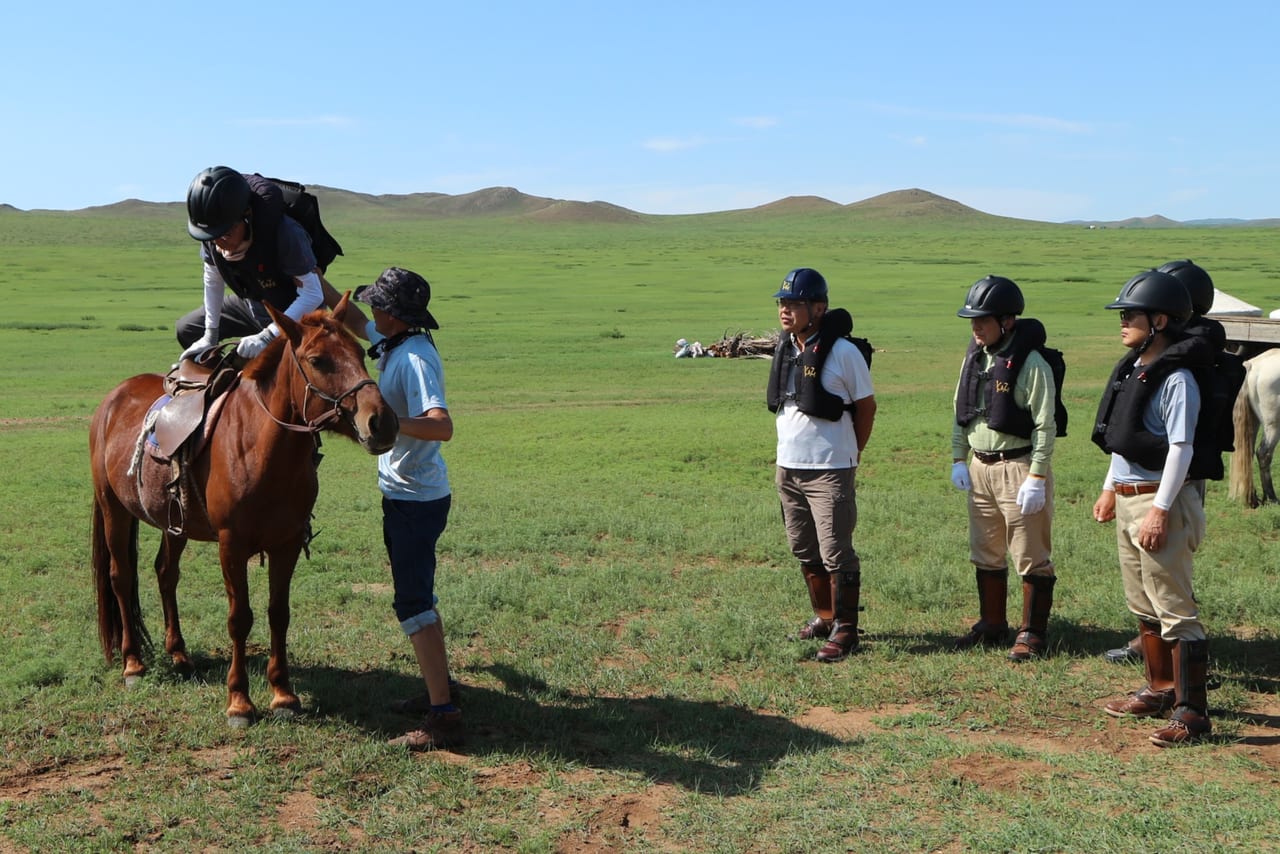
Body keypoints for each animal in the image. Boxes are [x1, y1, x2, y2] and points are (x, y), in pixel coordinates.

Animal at [90, 297, 396, 727]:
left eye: (360, 352)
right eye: (318, 360)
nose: (382, 421)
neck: (262, 448)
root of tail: (113, 398)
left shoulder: (286, 543)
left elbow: (278, 613)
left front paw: (283, 694)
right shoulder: (231, 546)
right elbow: (240, 618)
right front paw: (239, 701)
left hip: (174, 523)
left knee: (166, 574)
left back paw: (179, 654)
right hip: (113, 508)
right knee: (120, 577)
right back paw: (132, 664)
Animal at [1228, 348, 1280, 507]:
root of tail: (1254, 366)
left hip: (1255, 422)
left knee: (1248, 453)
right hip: (1273, 425)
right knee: (1263, 453)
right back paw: (1272, 498)